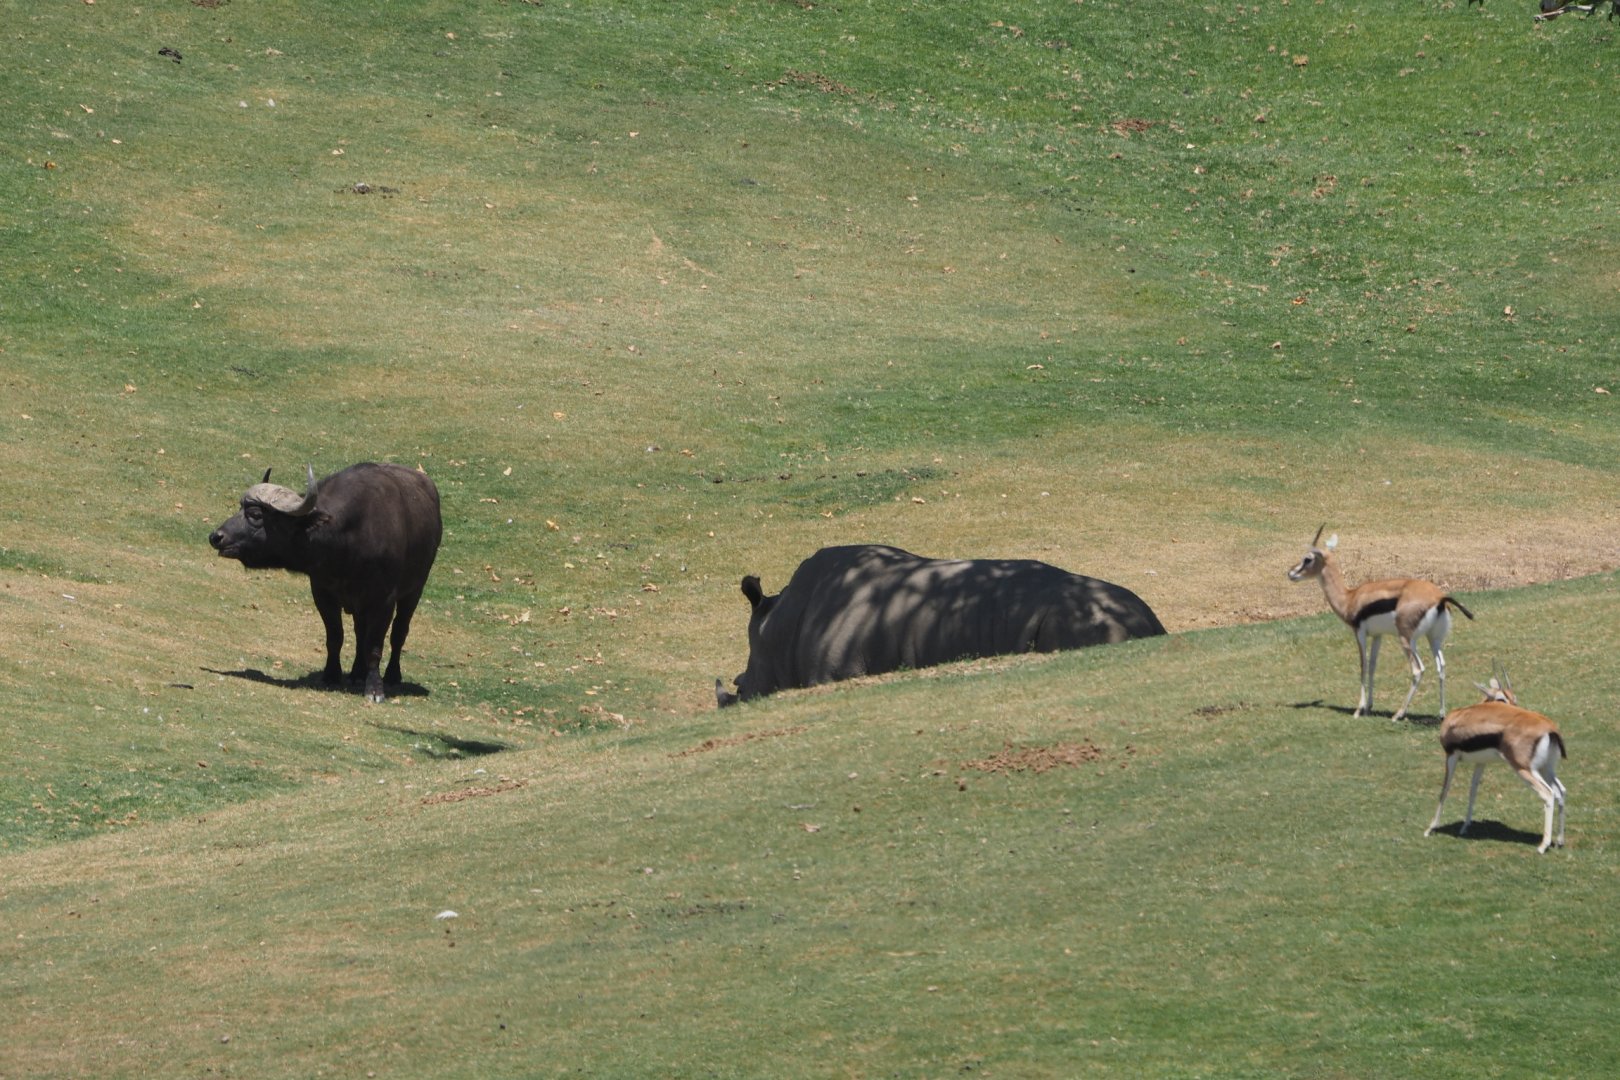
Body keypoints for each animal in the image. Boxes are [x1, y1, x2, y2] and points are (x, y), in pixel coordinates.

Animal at [209, 462, 442, 702]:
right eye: (240, 508)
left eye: (255, 514)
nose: (216, 536)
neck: (348, 540)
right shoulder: (323, 593)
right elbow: (335, 637)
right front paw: (331, 675)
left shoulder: (383, 600)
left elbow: (375, 645)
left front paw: (375, 689)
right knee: (360, 633)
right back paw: (357, 673)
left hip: (414, 591)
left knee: (399, 633)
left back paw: (392, 676)